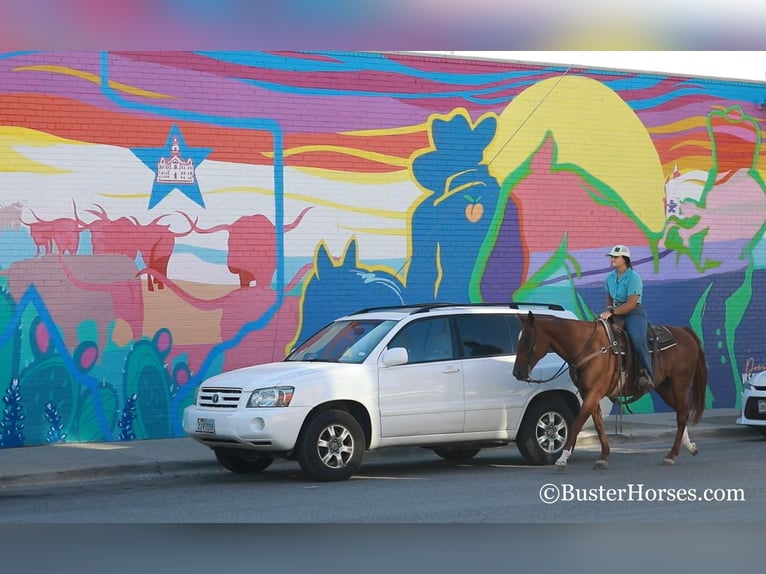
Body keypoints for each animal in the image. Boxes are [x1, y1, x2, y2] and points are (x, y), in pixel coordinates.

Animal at [512, 312, 712, 470]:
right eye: (518, 339)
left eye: (528, 339)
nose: (517, 372)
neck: (587, 346)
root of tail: (685, 332)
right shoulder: (588, 393)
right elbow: (598, 424)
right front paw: (604, 457)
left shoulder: (594, 392)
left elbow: (578, 423)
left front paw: (562, 458)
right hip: (664, 386)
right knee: (682, 412)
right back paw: (689, 446)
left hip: (680, 383)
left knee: (682, 414)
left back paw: (671, 455)